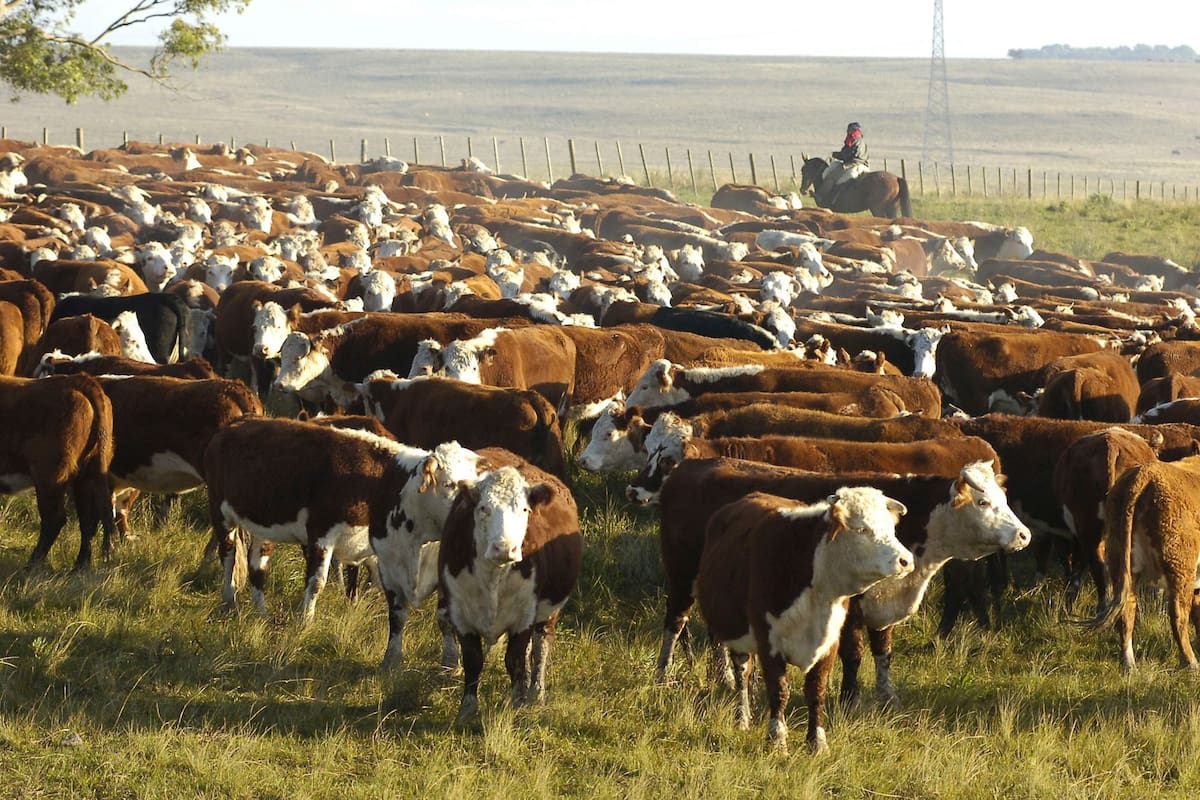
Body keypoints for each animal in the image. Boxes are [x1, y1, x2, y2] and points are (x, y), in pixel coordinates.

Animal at [0, 374, 116, 570]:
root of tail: (77, 380)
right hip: (87, 475)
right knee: (88, 519)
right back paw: (80, 566)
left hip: (50, 477)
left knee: (54, 518)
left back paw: (31, 566)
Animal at [439, 458, 583, 723]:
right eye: (483, 508)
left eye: (525, 510)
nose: (505, 548)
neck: (492, 577)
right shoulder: (460, 613)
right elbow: (473, 660)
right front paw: (467, 709)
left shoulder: (524, 615)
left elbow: (514, 659)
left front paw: (518, 704)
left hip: (549, 612)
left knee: (540, 647)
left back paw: (535, 691)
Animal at [696, 487, 913, 754]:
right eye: (861, 529)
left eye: (891, 528)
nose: (905, 560)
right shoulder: (768, 641)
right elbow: (779, 690)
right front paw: (777, 740)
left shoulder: (829, 641)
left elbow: (816, 690)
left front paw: (817, 742)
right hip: (738, 636)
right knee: (742, 675)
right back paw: (742, 718)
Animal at [1087, 455, 1200, 671]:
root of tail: (1144, 473)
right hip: (1181, 566)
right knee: (1178, 615)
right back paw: (1190, 663)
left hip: (1123, 563)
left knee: (1126, 611)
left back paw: (1129, 664)